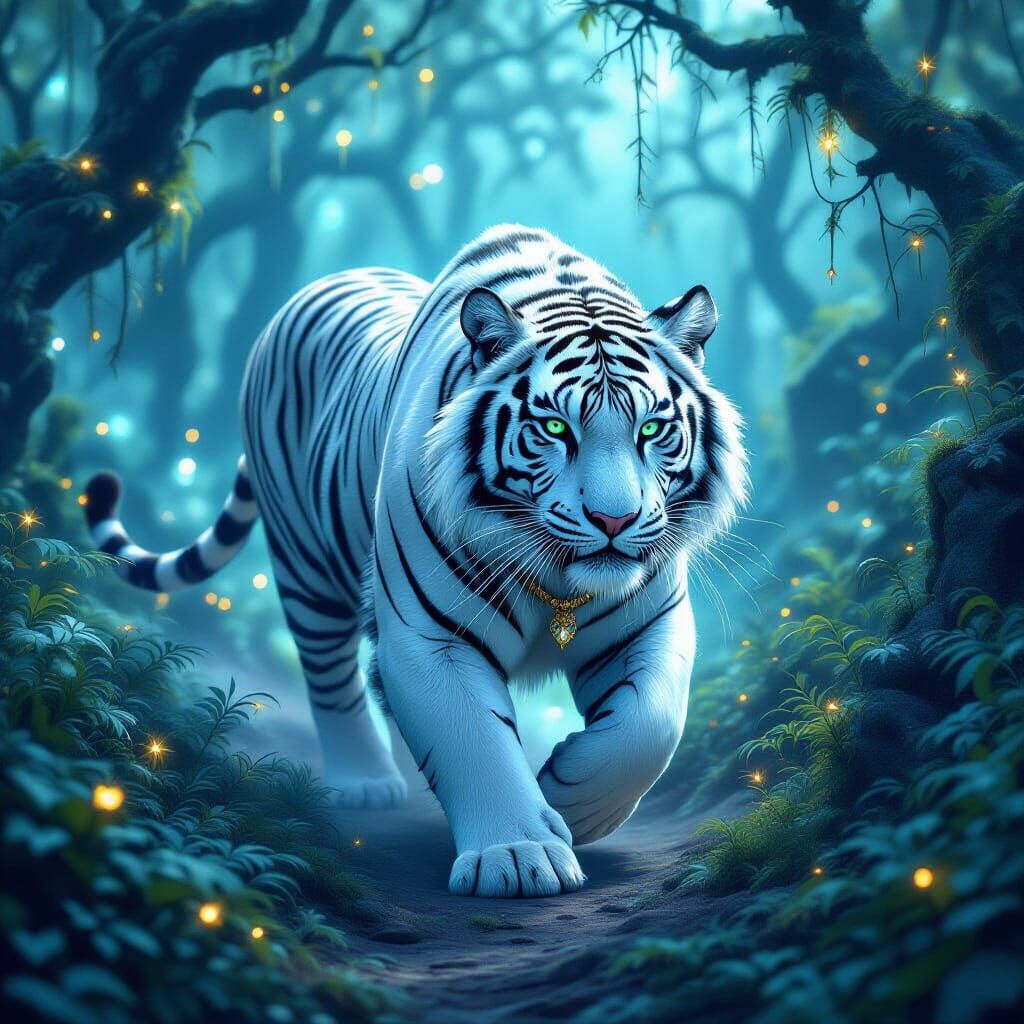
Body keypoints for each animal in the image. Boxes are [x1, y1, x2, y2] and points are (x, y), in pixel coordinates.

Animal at [84, 224, 748, 898]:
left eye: (653, 430)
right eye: (557, 429)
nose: (614, 521)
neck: (559, 580)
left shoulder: (650, 624)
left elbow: (649, 726)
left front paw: (571, 799)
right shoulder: (434, 636)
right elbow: (473, 740)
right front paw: (517, 856)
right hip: (306, 568)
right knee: (331, 676)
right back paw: (364, 782)